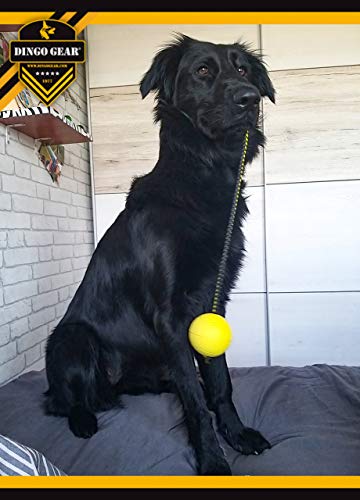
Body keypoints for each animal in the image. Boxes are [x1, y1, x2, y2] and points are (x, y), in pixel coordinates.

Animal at [45, 36, 276, 476]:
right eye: (203, 71)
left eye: (243, 70)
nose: (251, 99)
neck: (202, 176)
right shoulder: (170, 313)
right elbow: (197, 405)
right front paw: (212, 461)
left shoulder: (211, 304)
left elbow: (219, 384)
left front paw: (237, 434)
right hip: (72, 338)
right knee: (61, 401)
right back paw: (83, 418)